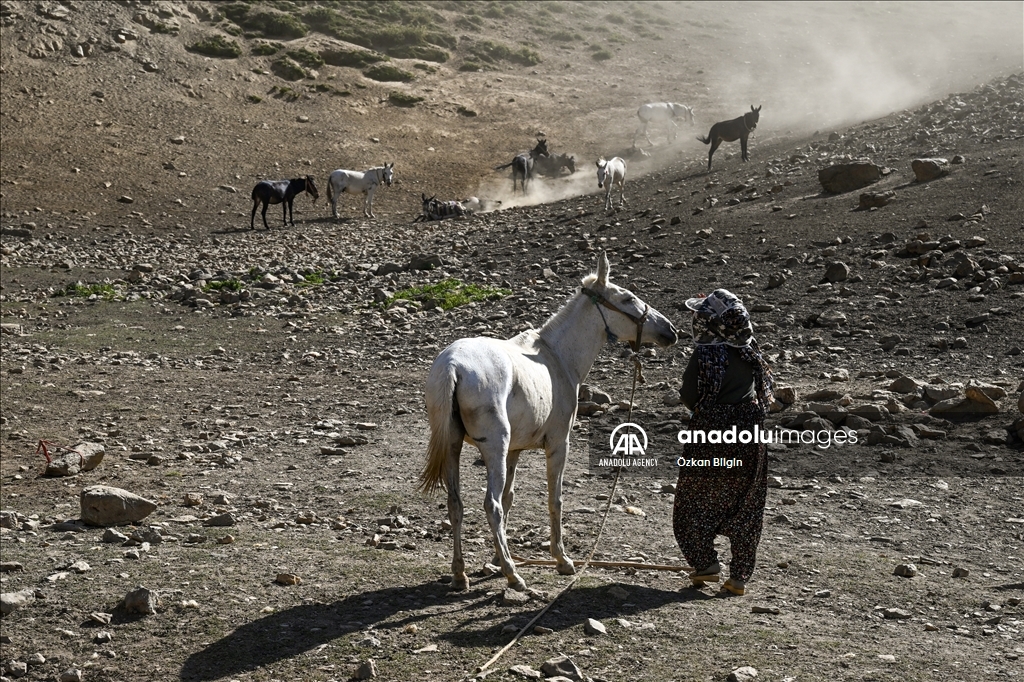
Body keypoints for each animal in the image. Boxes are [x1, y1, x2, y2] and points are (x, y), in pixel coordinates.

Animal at [419, 250, 675, 589]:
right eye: (628, 298)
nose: (670, 330)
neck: (556, 357)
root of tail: (452, 365)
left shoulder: (514, 451)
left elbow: (510, 497)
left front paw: (496, 559)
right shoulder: (557, 445)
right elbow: (555, 500)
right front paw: (560, 559)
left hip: (453, 446)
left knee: (456, 504)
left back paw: (461, 574)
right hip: (493, 448)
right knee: (491, 505)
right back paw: (514, 576)